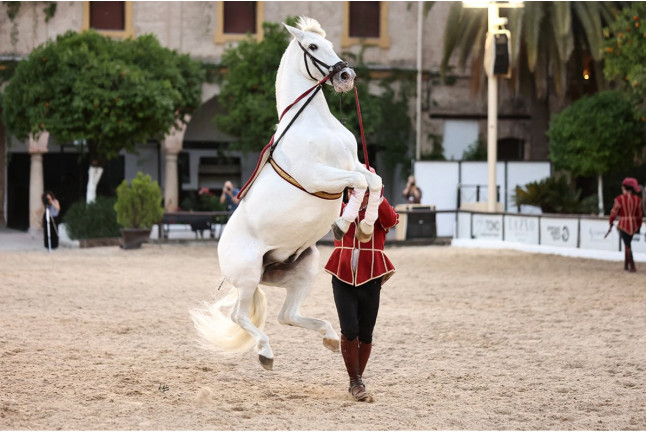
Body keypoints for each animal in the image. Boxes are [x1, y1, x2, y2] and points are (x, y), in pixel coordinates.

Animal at [190, 17, 383, 370]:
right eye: (313, 46)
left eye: (331, 44)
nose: (346, 76)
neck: (315, 124)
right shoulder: (319, 176)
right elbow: (360, 185)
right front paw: (343, 225)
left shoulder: (354, 164)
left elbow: (374, 183)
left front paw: (364, 227)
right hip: (248, 276)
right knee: (239, 316)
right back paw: (266, 353)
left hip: (303, 269)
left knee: (286, 315)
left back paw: (330, 337)